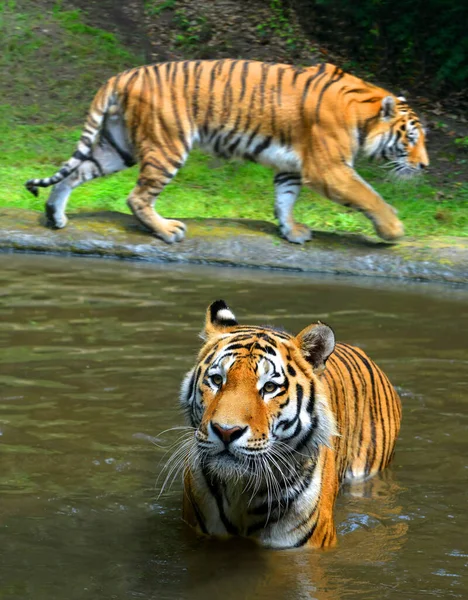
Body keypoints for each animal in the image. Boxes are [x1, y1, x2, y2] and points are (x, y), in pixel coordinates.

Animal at [24, 57, 428, 243]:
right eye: (410, 138)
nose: (424, 166)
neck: (363, 112)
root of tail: (123, 74)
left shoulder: (292, 166)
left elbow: (284, 199)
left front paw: (291, 231)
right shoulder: (330, 168)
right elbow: (369, 195)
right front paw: (394, 230)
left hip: (117, 147)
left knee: (75, 172)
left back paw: (55, 216)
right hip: (167, 145)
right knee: (137, 197)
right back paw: (167, 230)